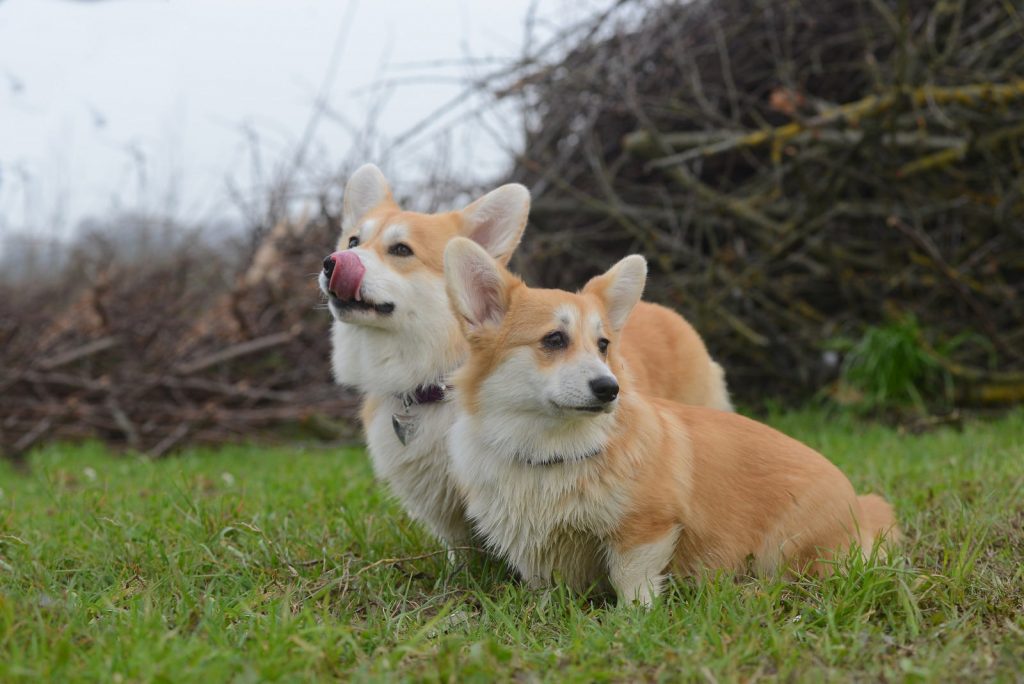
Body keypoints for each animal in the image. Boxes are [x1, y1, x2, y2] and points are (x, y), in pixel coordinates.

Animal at [444, 237, 901, 606]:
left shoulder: (647, 529)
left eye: (603, 345)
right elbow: (546, 587)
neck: (551, 451)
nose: (609, 389)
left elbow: (632, 580)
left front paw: (635, 619)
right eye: (554, 340)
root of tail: (860, 506)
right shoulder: (537, 552)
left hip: (788, 548)